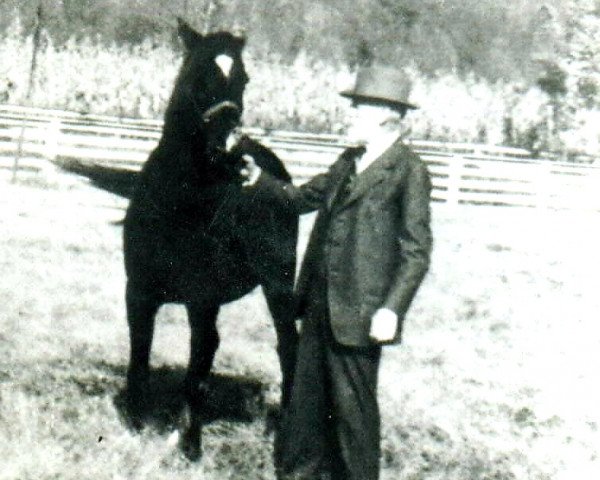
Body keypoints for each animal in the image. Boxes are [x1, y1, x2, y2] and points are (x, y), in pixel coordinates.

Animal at [108, 19, 300, 462]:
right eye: (200, 74)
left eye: (244, 78)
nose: (227, 144)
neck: (180, 201)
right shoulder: (139, 293)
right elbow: (139, 354)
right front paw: (136, 422)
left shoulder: (202, 299)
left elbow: (197, 369)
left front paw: (191, 445)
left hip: (277, 283)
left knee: (286, 346)